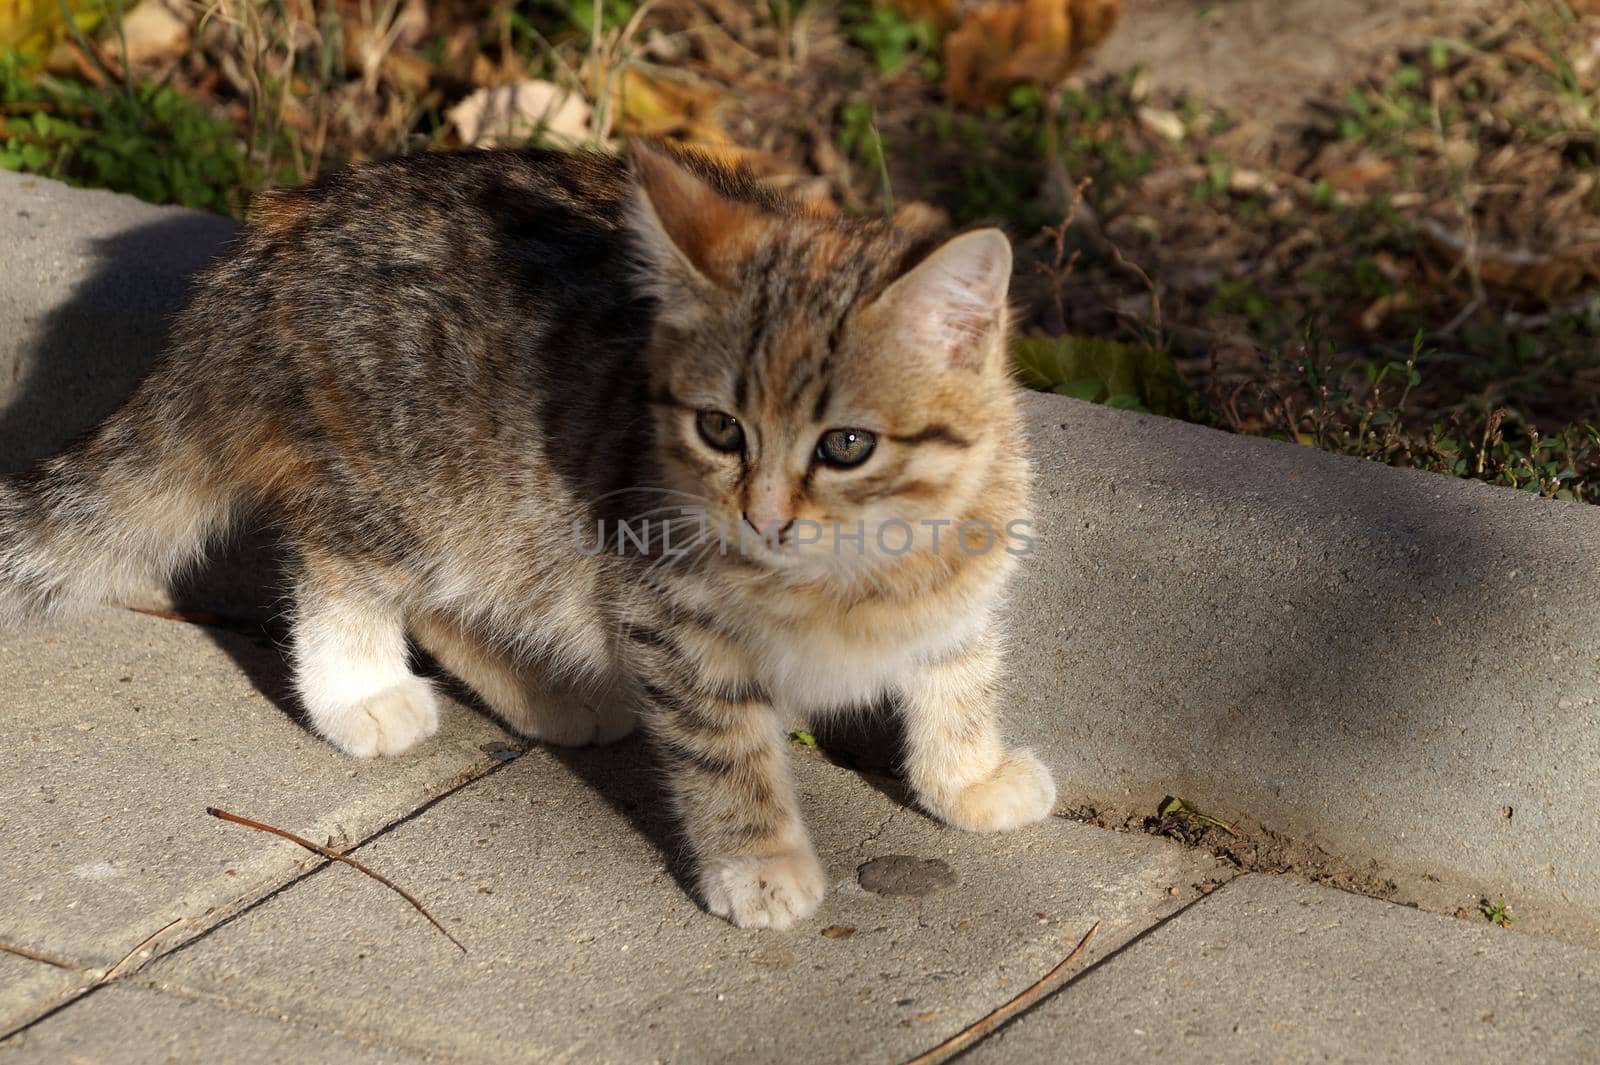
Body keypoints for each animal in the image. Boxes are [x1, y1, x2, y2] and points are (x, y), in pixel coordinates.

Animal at [0, 145, 1056, 927]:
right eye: (721, 429)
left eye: (845, 445)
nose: (761, 515)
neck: (860, 567)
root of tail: (279, 232)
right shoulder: (664, 602)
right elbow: (724, 743)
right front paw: (758, 860)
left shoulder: (969, 574)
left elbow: (961, 668)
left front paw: (967, 773)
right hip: (410, 476)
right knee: (342, 562)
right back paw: (360, 689)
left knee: (454, 598)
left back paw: (550, 689)